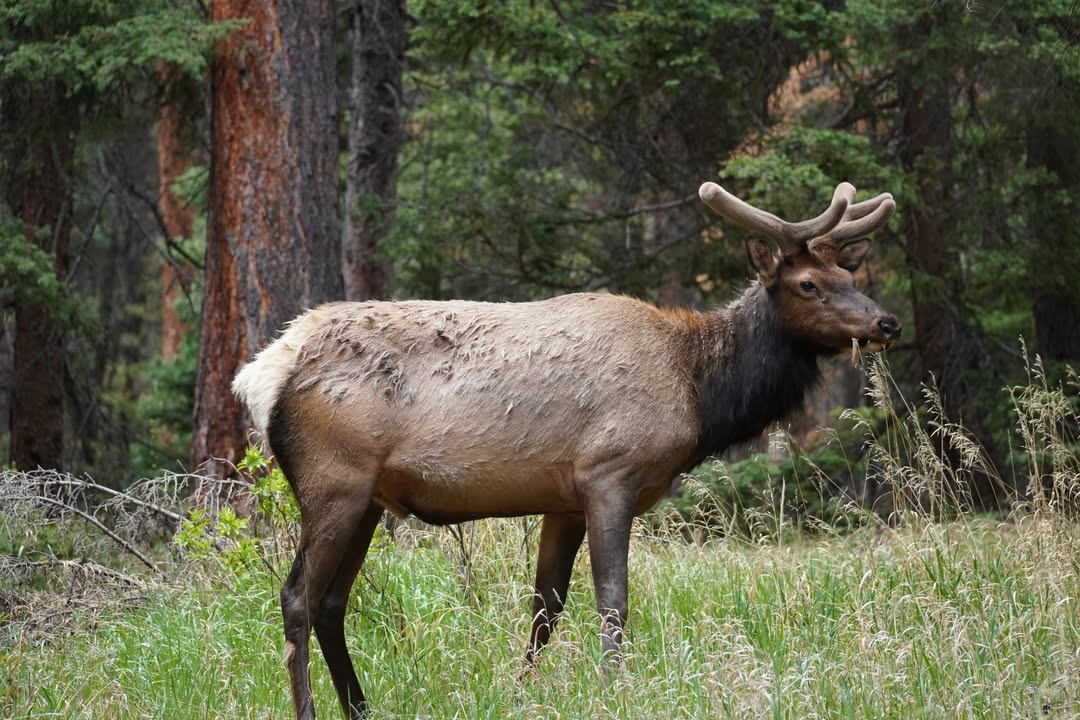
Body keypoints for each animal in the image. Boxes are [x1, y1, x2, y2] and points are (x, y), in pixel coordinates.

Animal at [232, 180, 900, 719]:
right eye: (808, 284)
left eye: (850, 277)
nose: (886, 322)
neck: (699, 392)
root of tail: (265, 373)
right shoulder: (610, 473)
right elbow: (612, 601)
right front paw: (612, 690)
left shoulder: (563, 500)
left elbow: (544, 609)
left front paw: (520, 694)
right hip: (333, 481)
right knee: (297, 597)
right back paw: (311, 709)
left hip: (367, 498)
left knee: (332, 602)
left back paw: (362, 708)